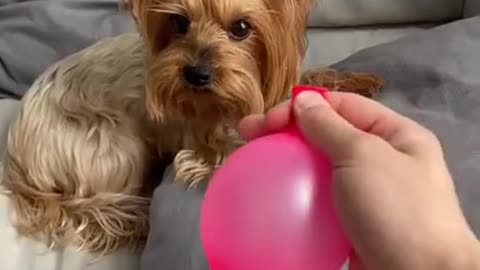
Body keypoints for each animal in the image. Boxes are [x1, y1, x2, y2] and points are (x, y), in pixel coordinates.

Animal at [0, 0, 382, 256]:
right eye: (178, 23)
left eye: (241, 28)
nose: (196, 74)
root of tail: (16, 163)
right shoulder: (202, 145)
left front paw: (352, 82)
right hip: (111, 145)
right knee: (91, 202)